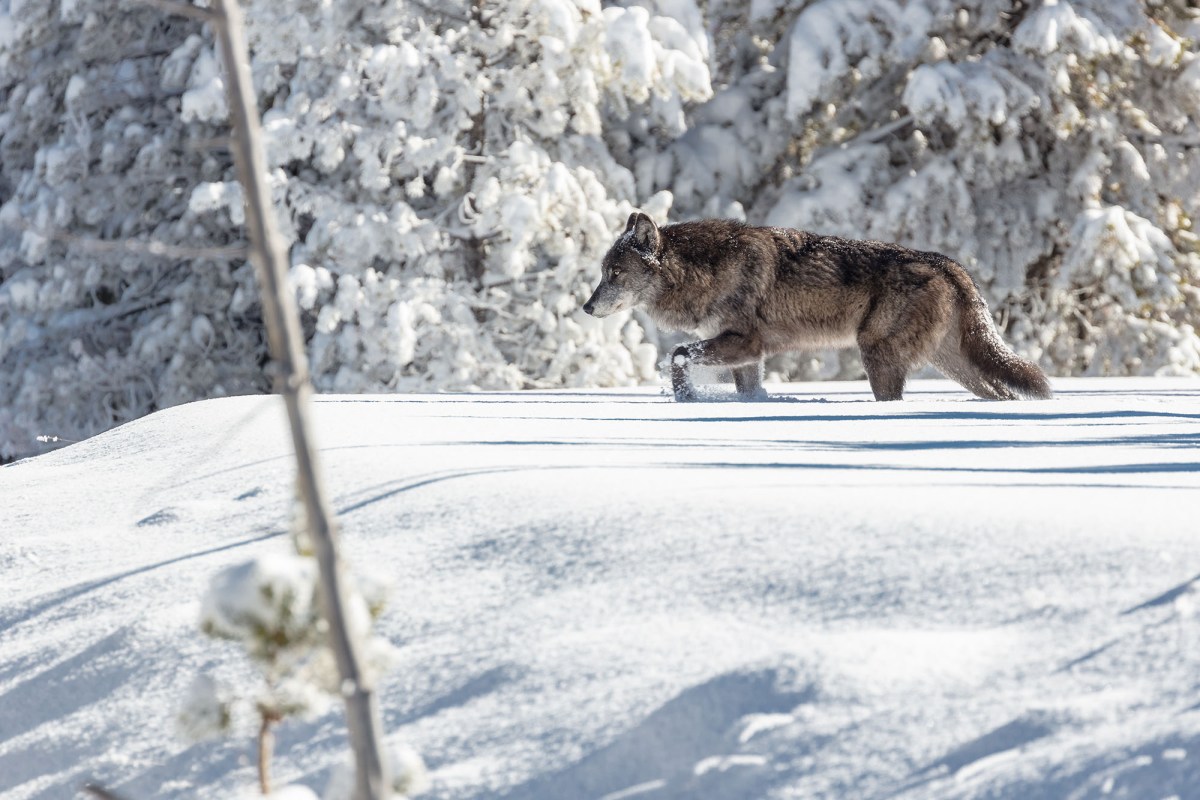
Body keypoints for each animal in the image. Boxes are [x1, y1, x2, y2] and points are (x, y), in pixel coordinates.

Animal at [583, 213, 1052, 402]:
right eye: (602, 272)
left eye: (615, 274)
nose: (586, 307)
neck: (705, 270)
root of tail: (948, 263)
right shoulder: (748, 356)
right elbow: (745, 389)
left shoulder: (744, 343)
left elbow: (677, 355)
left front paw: (686, 399)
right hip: (954, 365)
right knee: (1002, 393)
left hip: (878, 356)